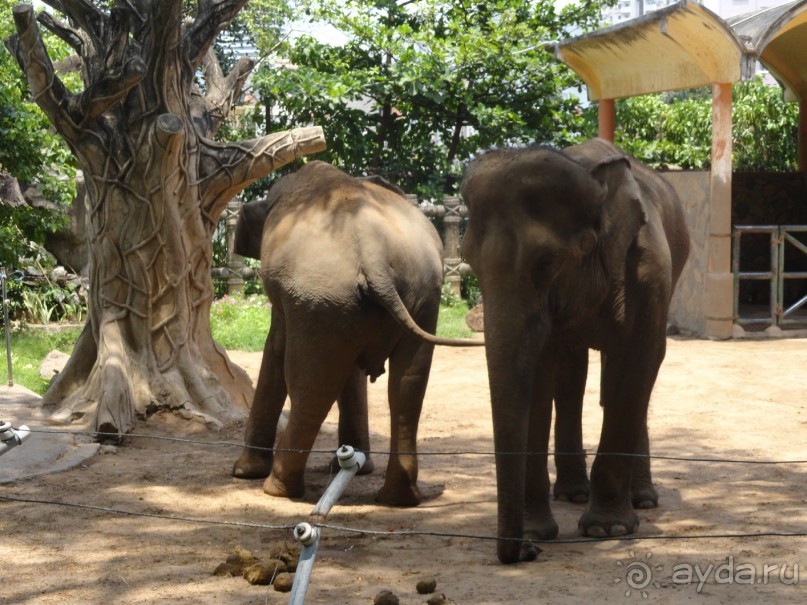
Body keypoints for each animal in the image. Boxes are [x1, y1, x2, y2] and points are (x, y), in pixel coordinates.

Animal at [229, 159, 480, 504]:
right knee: (407, 386)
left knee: (311, 385)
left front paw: (243, 472)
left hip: (319, 294)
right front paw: (354, 466)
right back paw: (397, 498)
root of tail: (375, 256)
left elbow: (276, 349)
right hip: (418, 294)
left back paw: (277, 488)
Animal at [460, 138, 688, 560]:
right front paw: (537, 530)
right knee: (571, 378)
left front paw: (606, 529)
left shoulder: (650, 270)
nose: (526, 551)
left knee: (626, 376)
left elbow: (640, 360)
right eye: (469, 261)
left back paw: (642, 499)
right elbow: (538, 374)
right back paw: (573, 493)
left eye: (546, 262)